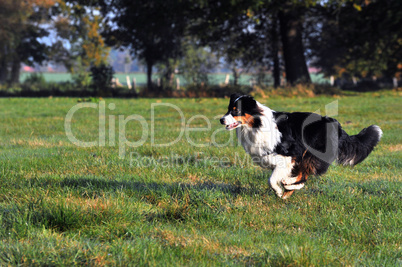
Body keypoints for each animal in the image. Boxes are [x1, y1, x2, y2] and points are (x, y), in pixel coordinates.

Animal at [221, 94, 382, 199]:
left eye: (236, 111)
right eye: (228, 109)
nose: (221, 120)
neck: (256, 124)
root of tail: (338, 126)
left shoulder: (290, 155)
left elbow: (272, 180)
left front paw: (278, 191)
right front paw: (282, 190)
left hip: (312, 153)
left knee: (304, 176)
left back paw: (287, 186)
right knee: (302, 176)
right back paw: (287, 189)